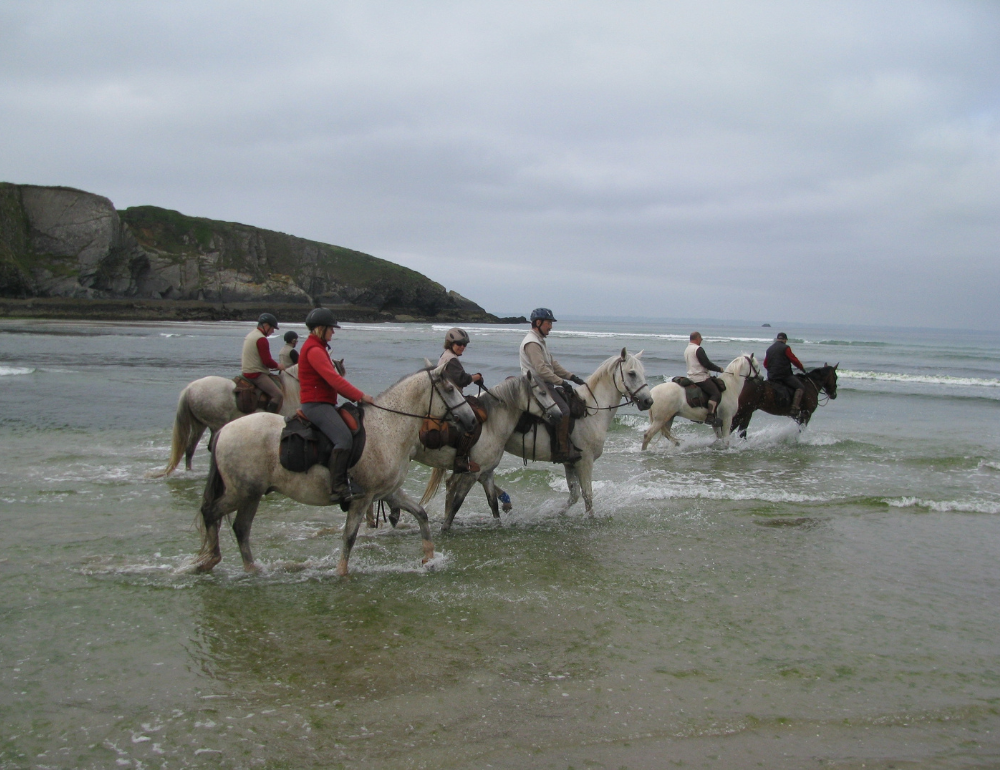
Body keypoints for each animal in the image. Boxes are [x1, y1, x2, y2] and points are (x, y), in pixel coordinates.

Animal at [146, 366, 298, 474]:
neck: (291, 387)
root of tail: (190, 389)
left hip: (199, 425)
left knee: (190, 449)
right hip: (216, 424)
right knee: (211, 447)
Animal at [196, 364, 480, 572]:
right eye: (450, 389)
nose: (472, 420)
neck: (387, 426)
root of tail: (225, 429)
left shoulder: (387, 493)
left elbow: (421, 513)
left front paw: (429, 557)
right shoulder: (362, 498)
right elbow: (349, 537)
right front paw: (341, 572)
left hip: (251, 495)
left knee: (241, 529)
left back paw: (251, 569)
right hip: (242, 492)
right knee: (211, 513)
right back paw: (211, 559)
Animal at [404, 370, 564, 528]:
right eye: (543, 392)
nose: (559, 415)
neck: (492, 425)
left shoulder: (487, 472)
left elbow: (493, 503)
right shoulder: (472, 474)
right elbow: (457, 503)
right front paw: (445, 528)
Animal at [500, 348, 656, 516]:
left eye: (642, 372)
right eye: (632, 373)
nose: (648, 401)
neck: (591, 411)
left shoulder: (570, 463)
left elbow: (574, 495)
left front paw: (559, 514)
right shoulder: (585, 462)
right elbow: (587, 495)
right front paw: (590, 517)